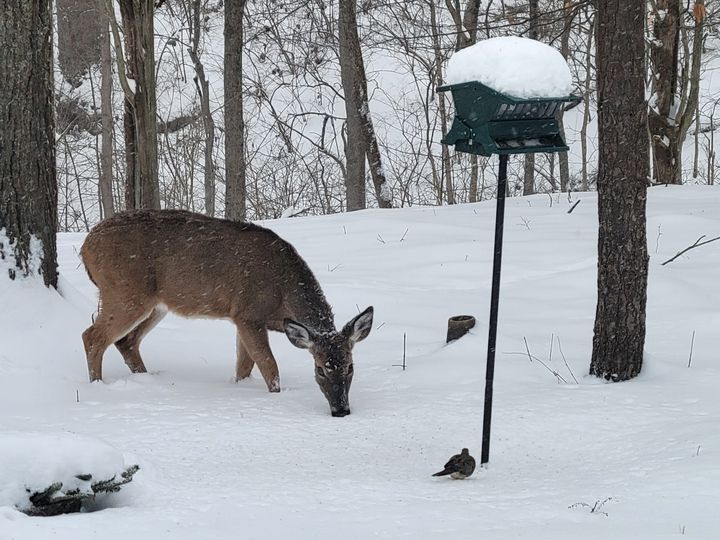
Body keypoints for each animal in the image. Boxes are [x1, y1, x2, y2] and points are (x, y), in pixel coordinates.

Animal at [80, 209, 373, 417]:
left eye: (350, 366)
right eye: (320, 369)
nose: (341, 410)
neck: (283, 291)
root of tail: (85, 247)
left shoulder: (242, 320)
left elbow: (244, 366)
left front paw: (239, 389)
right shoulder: (248, 314)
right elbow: (269, 366)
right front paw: (275, 397)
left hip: (156, 304)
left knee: (126, 341)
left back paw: (146, 380)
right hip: (125, 292)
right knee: (92, 336)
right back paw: (97, 387)